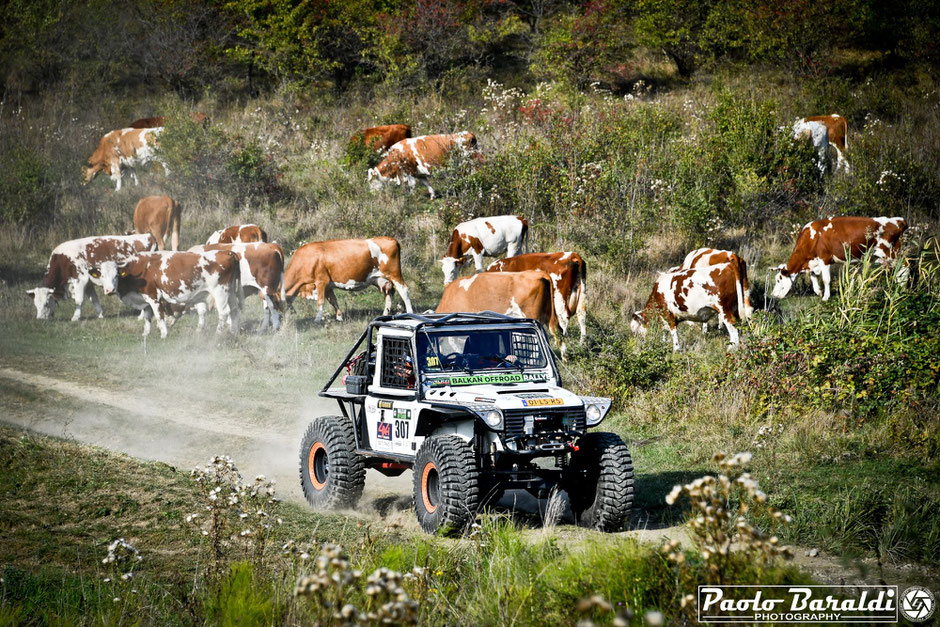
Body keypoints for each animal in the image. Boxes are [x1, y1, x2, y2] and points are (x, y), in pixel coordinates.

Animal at [27, 236, 157, 324]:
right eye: (35, 304)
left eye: (46, 303)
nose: (40, 319)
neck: (63, 259)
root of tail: (148, 236)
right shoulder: (88, 283)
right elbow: (94, 299)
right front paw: (100, 314)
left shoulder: (80, 280)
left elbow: (79, 300)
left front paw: (75, 317)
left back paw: (141, 316)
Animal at [92, 250, 241, 338]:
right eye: (102, 276)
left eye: (116, 275)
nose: (109, 290)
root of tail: (227, 252)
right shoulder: (145, 299)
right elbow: (147, 316)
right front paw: (145, 333)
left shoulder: (154, 297)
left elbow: (159, 317)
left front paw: (164, 334)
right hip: (231, 291)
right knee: (234, 309)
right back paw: (233, 331)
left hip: (220, 291)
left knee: (224, 312)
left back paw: (218, 334)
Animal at [280, 237, 410, 324]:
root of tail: (391, 239)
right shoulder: (328, 286)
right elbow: (333, 301)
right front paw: (339, 317)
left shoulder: (321, 282)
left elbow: (320, 302)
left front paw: (317, 319)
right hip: (381, 278)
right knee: (389, 293)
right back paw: (384, 314)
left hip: (394, 274)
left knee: (404, 290)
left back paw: (409, 312)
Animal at [772, 216, 912, 302]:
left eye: (779, 280)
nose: (773, 295)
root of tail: (897, 220)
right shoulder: (814, 262)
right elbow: (813, 277)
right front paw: (818, 291)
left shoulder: (824, 258)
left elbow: (826, 279)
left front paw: (825, 297)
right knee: (900, 269)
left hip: (890, 252)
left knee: (905, 266)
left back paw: (903, 288)